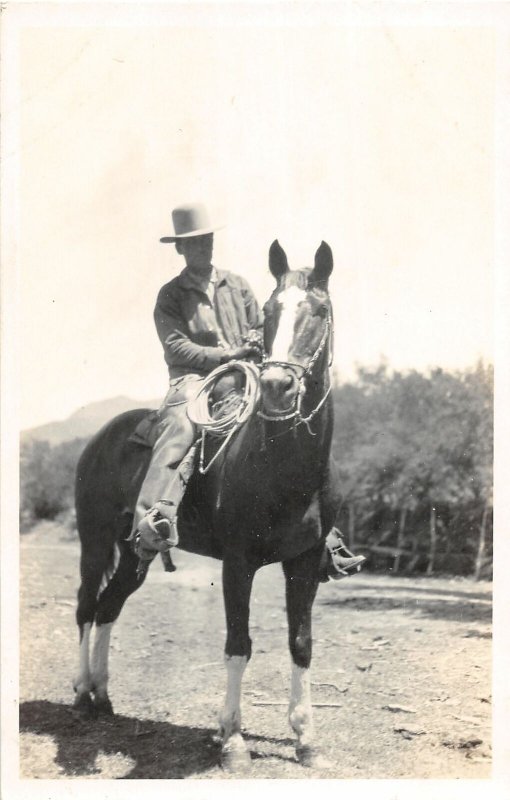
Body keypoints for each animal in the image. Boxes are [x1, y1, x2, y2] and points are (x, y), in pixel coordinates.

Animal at [72, 238, 342, 768]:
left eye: (319, 311)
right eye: (271, 313)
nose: (277, 387)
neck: (282, 467)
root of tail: (101, 438)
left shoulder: (304, 562)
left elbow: (301, 643)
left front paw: (306, 739)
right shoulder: (239, 563)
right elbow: (238, 643)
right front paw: (232, 740)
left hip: (134, 553)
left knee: (109, 607)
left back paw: (102, 696)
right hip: (93, 543)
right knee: (86, 607)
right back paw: (79, 692)